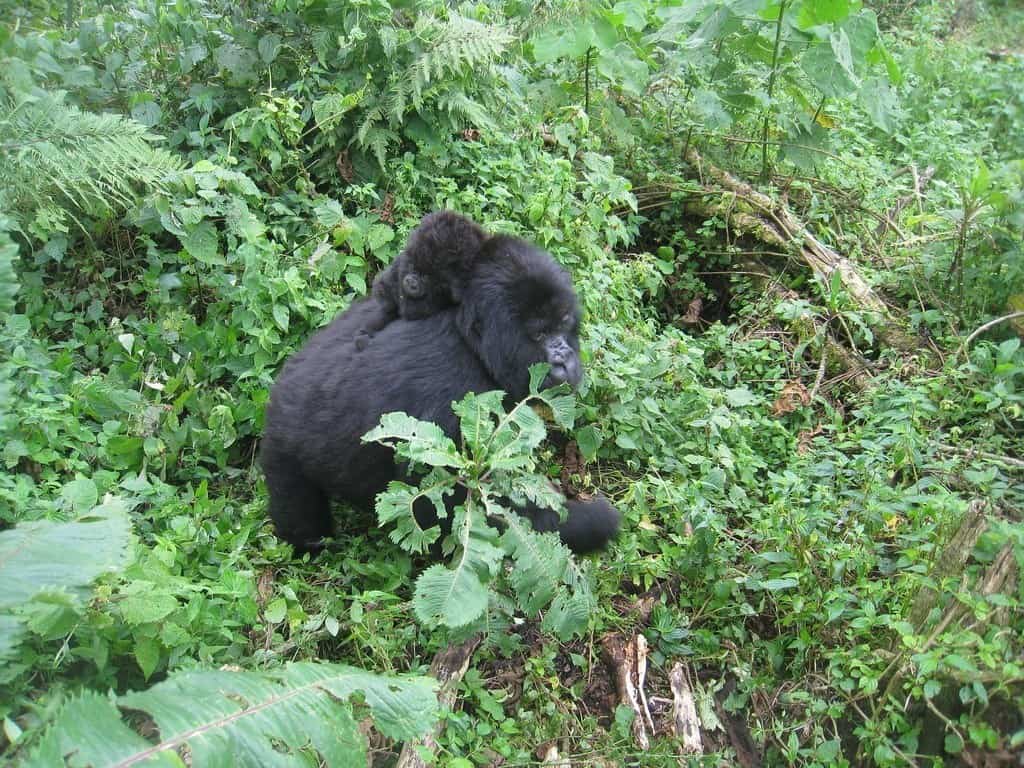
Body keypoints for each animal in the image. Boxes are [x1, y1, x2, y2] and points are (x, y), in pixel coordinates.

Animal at [260, 231, 618, 557]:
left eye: (564, 323)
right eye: (540, 334)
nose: (565, 358)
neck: (474, 343)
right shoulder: (455, 401)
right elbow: (441, 512)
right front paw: (593, 521)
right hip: (281, 447)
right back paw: (309, 542)